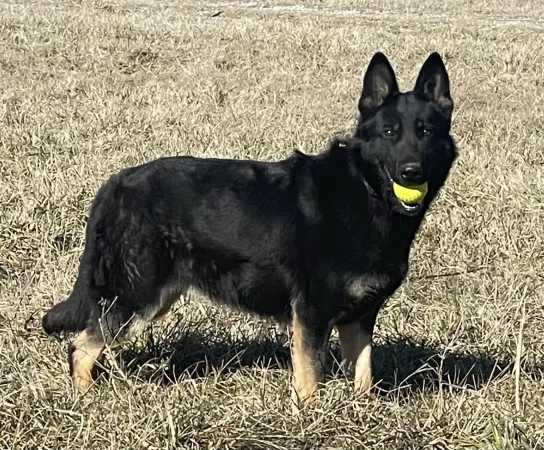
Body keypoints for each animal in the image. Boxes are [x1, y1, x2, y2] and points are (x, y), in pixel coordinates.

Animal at [44, 52, 456, 408]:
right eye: (389, 132)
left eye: (425, 132)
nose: (411, 173)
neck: (365, 190)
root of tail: (116, 183)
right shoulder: (311, 314)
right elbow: (310, 377)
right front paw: (311, 418)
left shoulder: (360, 318)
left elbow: (364, 374)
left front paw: (360, 412)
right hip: (136, 296)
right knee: (80, 347)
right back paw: (85, 401)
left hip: (154, 298)